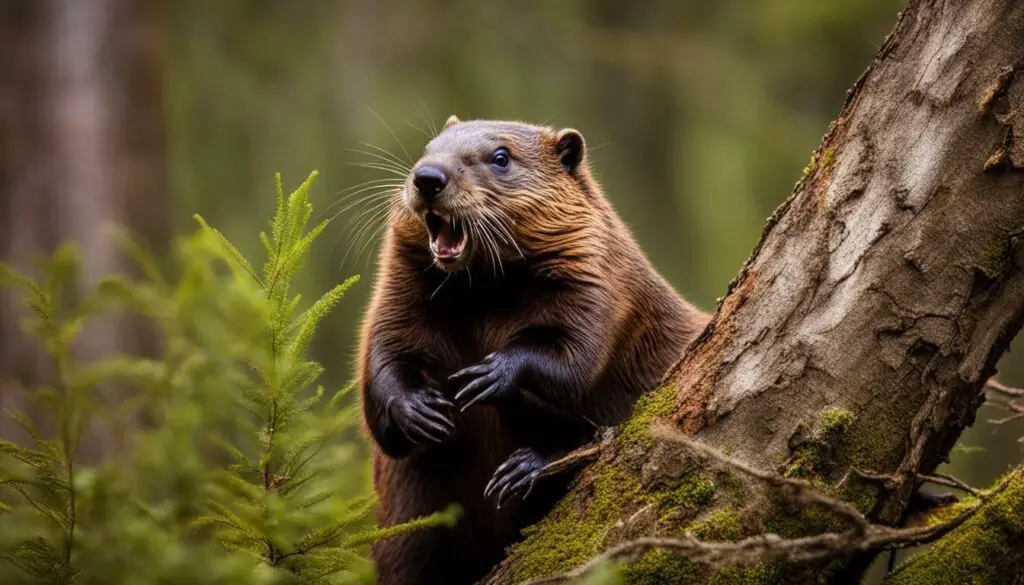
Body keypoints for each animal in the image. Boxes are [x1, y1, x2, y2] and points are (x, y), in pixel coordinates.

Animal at [358, 115, 704, 585]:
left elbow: (573, 356)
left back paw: (521, 470)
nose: (428, 177)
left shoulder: (597, 283)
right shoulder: (397, 296)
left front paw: (487, 377)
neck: (484, 295)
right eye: (428, 147)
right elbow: (383, 362)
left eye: (501, 157)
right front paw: (424, 413)